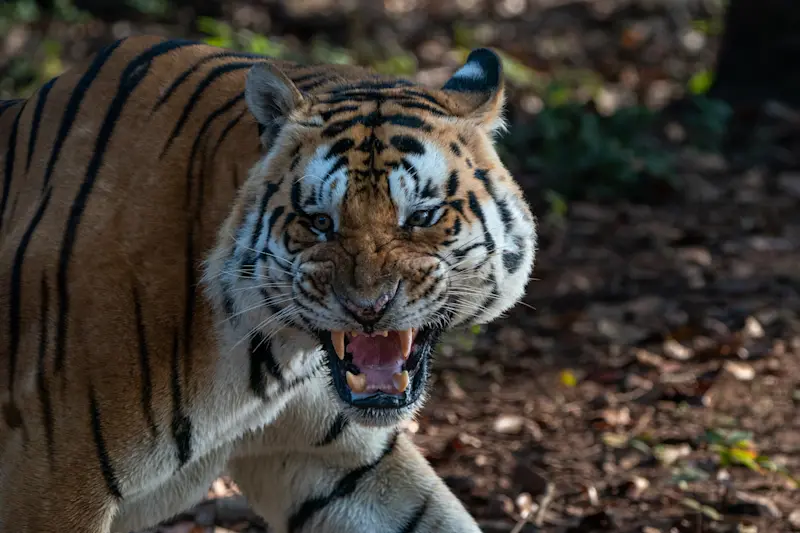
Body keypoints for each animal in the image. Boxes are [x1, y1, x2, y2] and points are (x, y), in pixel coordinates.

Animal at [0, 35, 537, 533]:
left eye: (422, 216)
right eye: (320, 223)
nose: (368, 308)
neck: (273, 355)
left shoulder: (334, 462)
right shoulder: (51, 482)